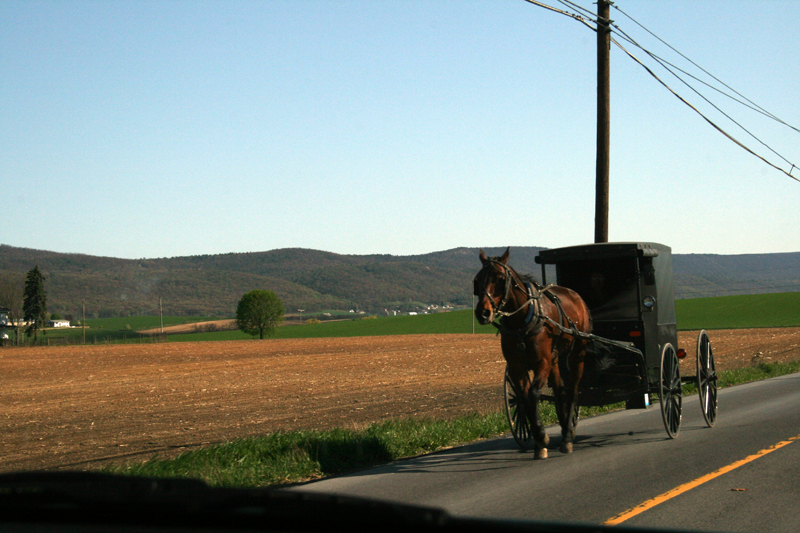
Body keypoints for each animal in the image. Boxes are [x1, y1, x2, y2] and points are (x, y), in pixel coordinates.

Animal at [472, 247, 592, 456]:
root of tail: (576, 296)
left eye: (500, 278)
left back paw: (568, 436)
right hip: (554, 358)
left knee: (573, 391)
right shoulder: (516, 368)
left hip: (577, 354)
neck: (521, 321)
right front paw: (539, 439)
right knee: (560, 391)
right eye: (477, 279)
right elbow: (525, 398)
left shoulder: (542, 362)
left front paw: (542, 437)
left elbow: (534, 393)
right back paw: (563, 431)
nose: (483, 313)